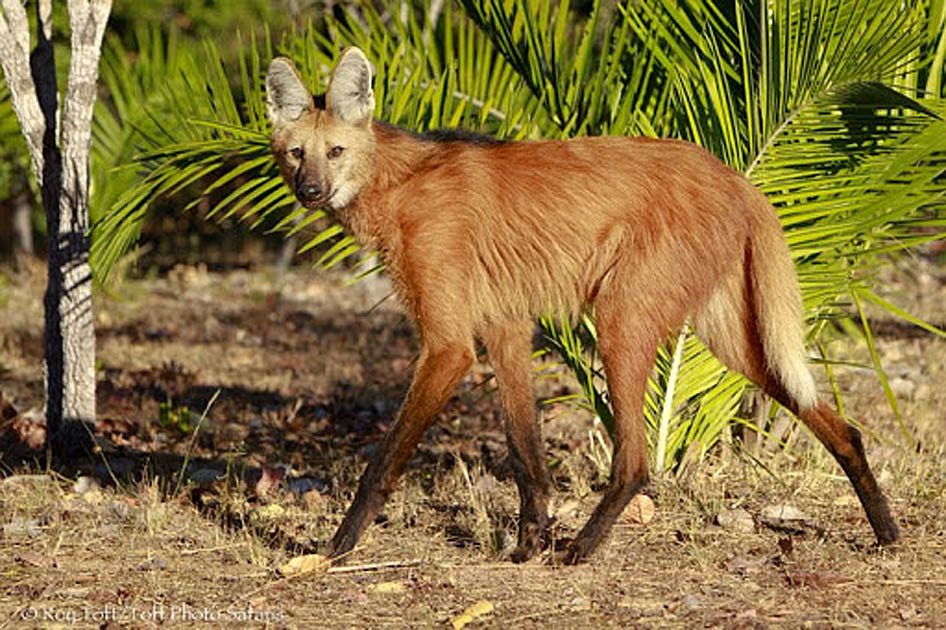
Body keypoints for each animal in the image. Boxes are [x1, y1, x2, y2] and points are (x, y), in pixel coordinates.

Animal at [262, 47, 896, 564]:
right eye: (296, 154)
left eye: (335, 151)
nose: (310, 191)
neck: (397, 184)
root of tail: (735, 178)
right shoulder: (505, 326)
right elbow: (525, 452)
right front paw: (527, 543)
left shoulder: (449, 346)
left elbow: (384, 461)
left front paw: (336, 549)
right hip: (732, 339)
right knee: (837, 423)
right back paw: (886, 530)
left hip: (621, 320)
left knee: (636, 461)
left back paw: (583, 549)